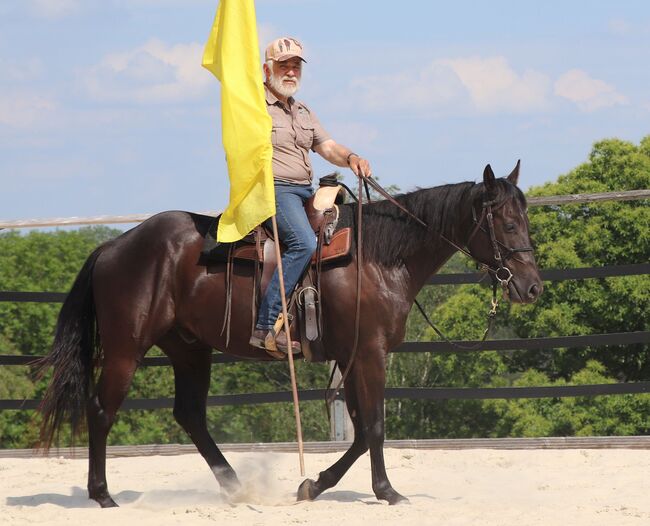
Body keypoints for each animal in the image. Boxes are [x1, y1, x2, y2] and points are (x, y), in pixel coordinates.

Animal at [37, 162, 542, 508]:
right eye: (507, 223)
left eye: (526, 220)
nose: (532, 286)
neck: (379, 257)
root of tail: (113, 245)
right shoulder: (370, 354)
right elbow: (375, 426)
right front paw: (386, 491)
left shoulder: (351, 356)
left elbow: (362, 431)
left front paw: (314, 485)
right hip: (127, 348)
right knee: (102, 410)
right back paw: (103, 495)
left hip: (189, 349)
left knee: (190, 414)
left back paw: (235, 486)